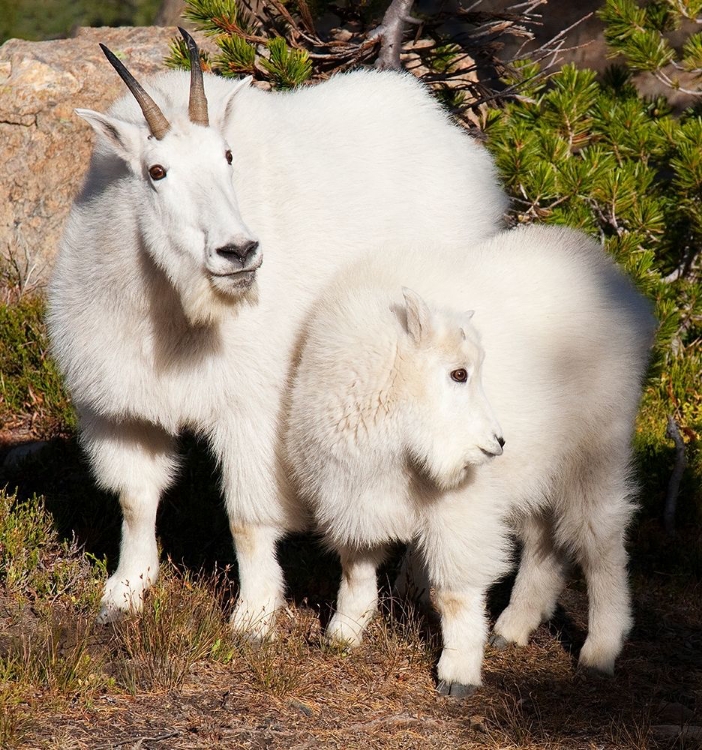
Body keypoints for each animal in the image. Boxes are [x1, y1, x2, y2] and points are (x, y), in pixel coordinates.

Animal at [49, 29, 508, 636]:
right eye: (156, 171)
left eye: (228, 157)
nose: (239, 251)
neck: (173, 316)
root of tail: (449, 132)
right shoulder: (123, 408)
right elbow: (135, 499)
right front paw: (125, 592)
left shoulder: (253, 411)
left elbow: (248, 517)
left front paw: (254, 616)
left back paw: (412, 581)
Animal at [286, 225, 660, 700]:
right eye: (459, 373)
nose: (496, 443)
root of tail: (629, 296)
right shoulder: (352, 494)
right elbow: (356, 571)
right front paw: (342, 635)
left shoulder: (460, 509)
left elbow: (455, 591)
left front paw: (457, 673)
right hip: (540, 466)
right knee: (544, 539)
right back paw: (513, 628)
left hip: (596, 450)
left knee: (599, 536)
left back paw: (600, 649)